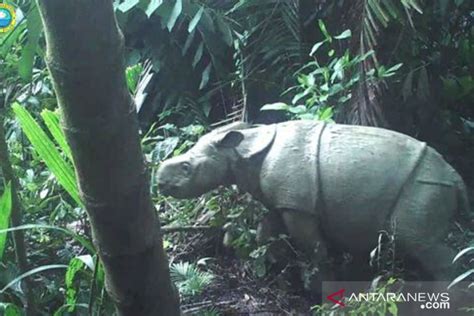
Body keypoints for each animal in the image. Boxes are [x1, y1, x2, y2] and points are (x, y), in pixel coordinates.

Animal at [156, 119, 470, 280]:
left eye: (187, 168)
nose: (158, 182)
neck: (240, 150)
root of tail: (457, 177)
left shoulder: (299, 206)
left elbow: (313, 245)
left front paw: (315, 281)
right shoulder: (283, 200)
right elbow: (265, 231)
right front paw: (269, 267)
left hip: (424, 184)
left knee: (417, 241)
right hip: (429, 184)